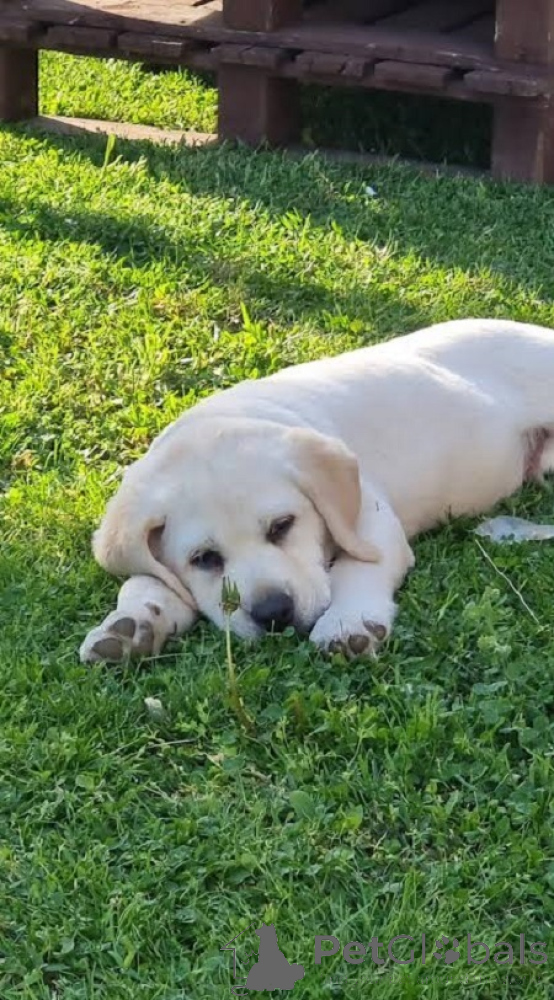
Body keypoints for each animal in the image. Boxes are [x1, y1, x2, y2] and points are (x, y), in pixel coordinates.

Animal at [80, 318, 554, 664]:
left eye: (282, 526)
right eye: (204, 559)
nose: (274, 614)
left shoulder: (371, 519)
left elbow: (356, 566)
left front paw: (350, 622)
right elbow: (144, 578)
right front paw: (135, 623)